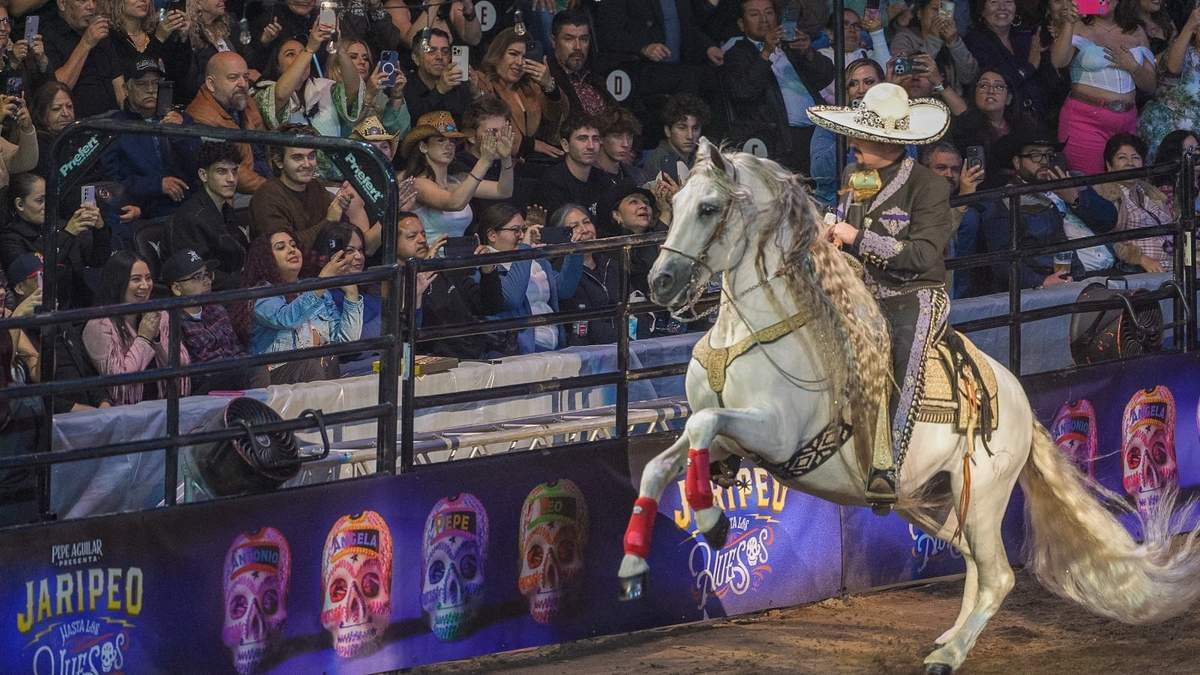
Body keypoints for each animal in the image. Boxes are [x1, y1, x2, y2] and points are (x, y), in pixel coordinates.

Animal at [617, 139, 1200, 673]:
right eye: (675, 204)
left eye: (709, 207)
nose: (660, 282)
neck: (755, 331)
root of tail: (1014, 396)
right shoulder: (730, 440)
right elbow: (660, 461)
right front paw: (632, 567)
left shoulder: (778, 436)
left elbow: (703, 422)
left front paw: (712, 519)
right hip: (943, 501)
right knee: (975, 566)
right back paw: (948, 638)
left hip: (983, 497)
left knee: (999, 575)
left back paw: (949, 655)